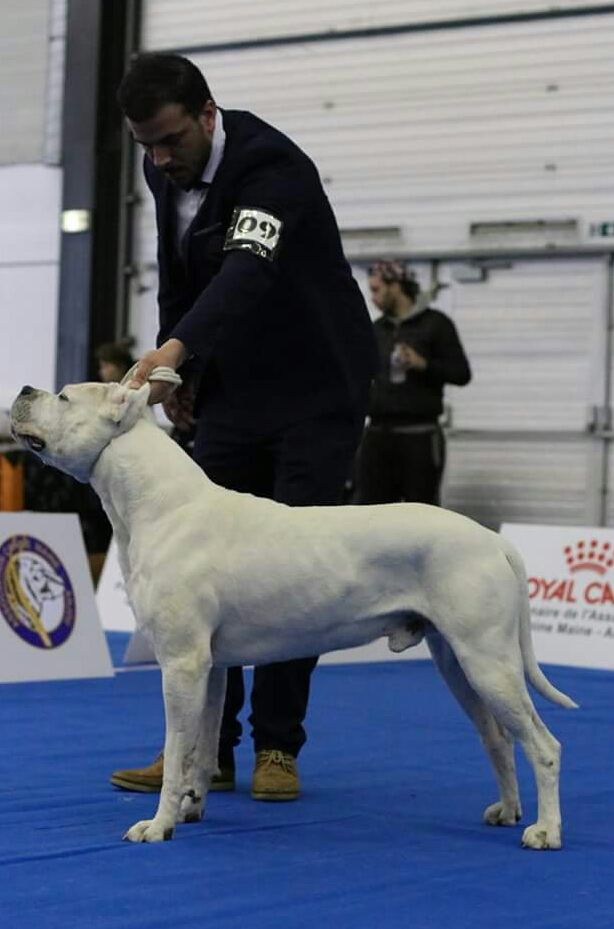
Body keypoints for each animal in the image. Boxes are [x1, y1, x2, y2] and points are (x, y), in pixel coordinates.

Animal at [9, 378, 576, 848]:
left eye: (64, 397)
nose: (25, 390)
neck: (159, 504)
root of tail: (493, 540)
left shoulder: (181, 665)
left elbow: (176, 752)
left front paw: (159, 825)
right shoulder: (210, 669)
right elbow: (200, 748)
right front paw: (192, 808)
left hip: (488, 661)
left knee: (543, 745)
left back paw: (545, 831)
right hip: (459, 662)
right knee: (499, 738)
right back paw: (508, 810)